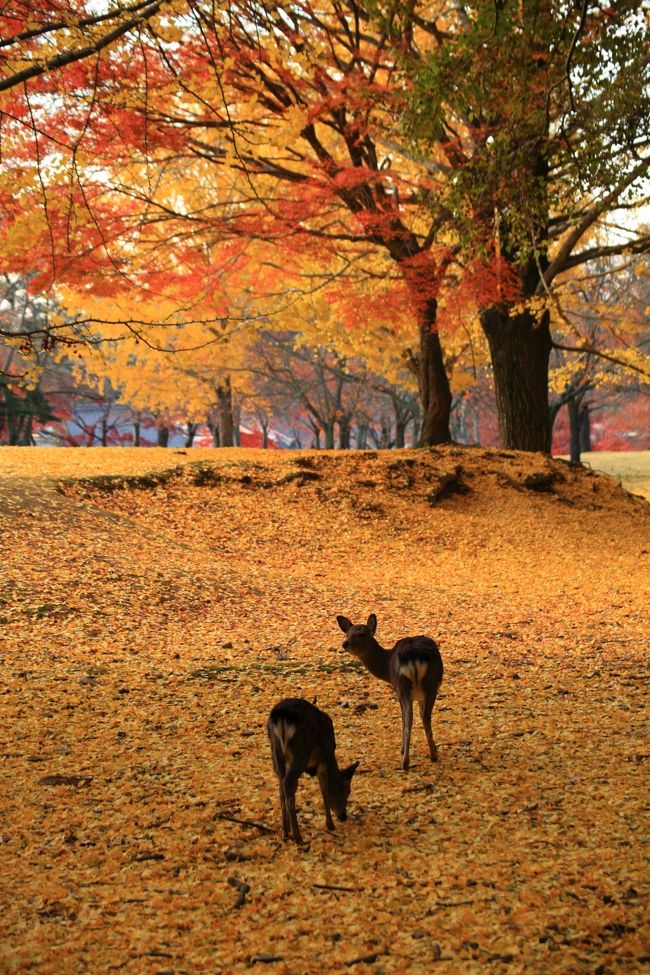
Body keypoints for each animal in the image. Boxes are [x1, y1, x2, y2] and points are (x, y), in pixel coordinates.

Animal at [268, 692, 360, 848]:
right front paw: (330, 825)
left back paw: (285, 831)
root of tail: (281, 716)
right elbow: (324, 789)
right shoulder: (323, 760)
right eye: (347, 791)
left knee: (281, 785)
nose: (343, 816)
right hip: (300, 751)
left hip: (276, 751)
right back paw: (298, 837)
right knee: (288, 783)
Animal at [334, 616, 440, 772]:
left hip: (404, 686)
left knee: (409, 718)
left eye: (362, 634)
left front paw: (402, 749)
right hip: (430, 684)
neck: (386, 666)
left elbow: (404, 717)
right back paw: (433, 755)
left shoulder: (397, 690)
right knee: (425, 716)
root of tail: (415, 656)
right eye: (347, 634)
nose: (345, 644)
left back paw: (405, 762)